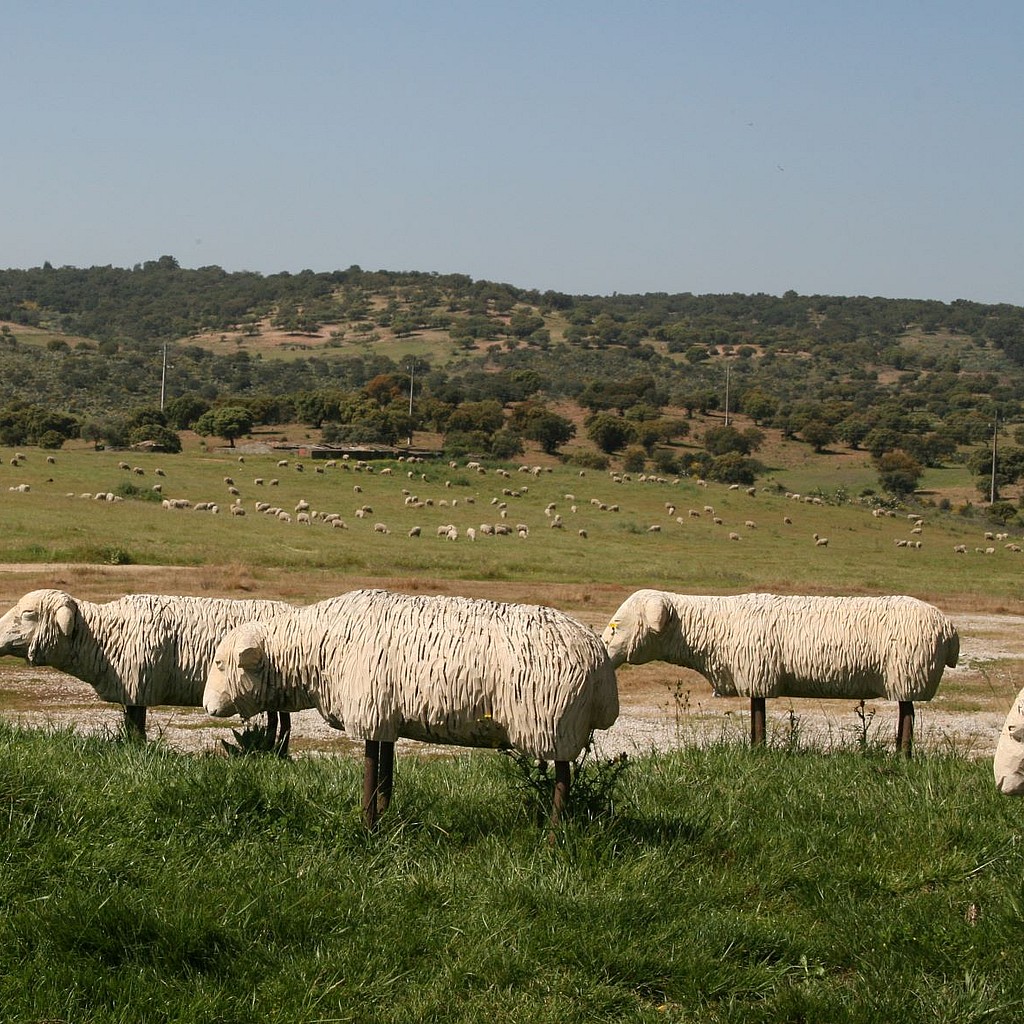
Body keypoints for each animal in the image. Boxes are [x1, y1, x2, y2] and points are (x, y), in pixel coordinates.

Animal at [0, 589, 305, 749]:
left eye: (28, 614)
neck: (101, 635)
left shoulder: (138, 685)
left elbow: (136, 726)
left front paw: (135, 749)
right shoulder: (130, 688)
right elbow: (130, 723)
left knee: (282, 721)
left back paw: (275, 751)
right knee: (278, 718)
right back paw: (270, 748)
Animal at [201, 593, 614, 831]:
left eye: (220, 664)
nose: (207, 706)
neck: (316, 646)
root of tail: (601, 666)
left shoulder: (370, 710)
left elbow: (372, 774)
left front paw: (368, 827)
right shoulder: (386, 715)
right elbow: (385, 771)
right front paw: (383, 815)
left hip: (553, 723)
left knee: (562, 780)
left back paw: (554, 836)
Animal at [598, 593, 958, 753]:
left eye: (617, 625)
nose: (602, 650)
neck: (710, 628)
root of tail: (948, 627)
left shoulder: (758, 677)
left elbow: (758, 721)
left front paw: (758, 753)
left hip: (907, 676)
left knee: (907, 714)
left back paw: (903, 756)